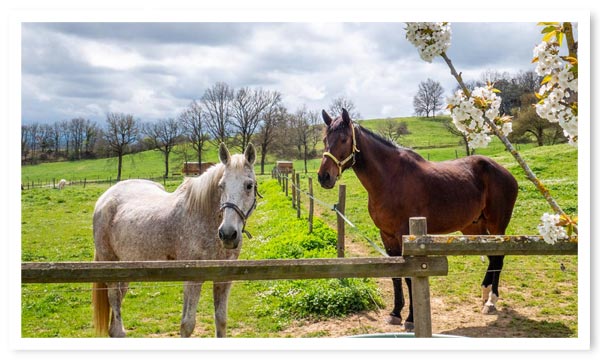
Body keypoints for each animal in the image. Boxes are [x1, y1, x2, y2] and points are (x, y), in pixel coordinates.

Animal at [92, 143, 256, 338]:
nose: (228, 234)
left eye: (249, 185)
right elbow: (187, 324)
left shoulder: (224, 280)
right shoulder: (192, 279)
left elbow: (221, 321)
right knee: (115, 308)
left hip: (126, 268)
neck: (203, 216)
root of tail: (105, 198)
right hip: (109, 266)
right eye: (221, 186)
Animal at [316, 108, 516, 330]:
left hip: (497, 225)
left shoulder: (407, 236)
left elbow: (410, 277)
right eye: (325, 139)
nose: (324, 176)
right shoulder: (386, 235)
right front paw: (395, 313)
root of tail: (504, 172)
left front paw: (411, 319)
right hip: (473, 227)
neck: (390, 178)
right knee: (491, 257)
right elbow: (396, 275)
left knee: (498, 257)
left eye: (343, 139)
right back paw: (484, 293)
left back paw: (491, 301)